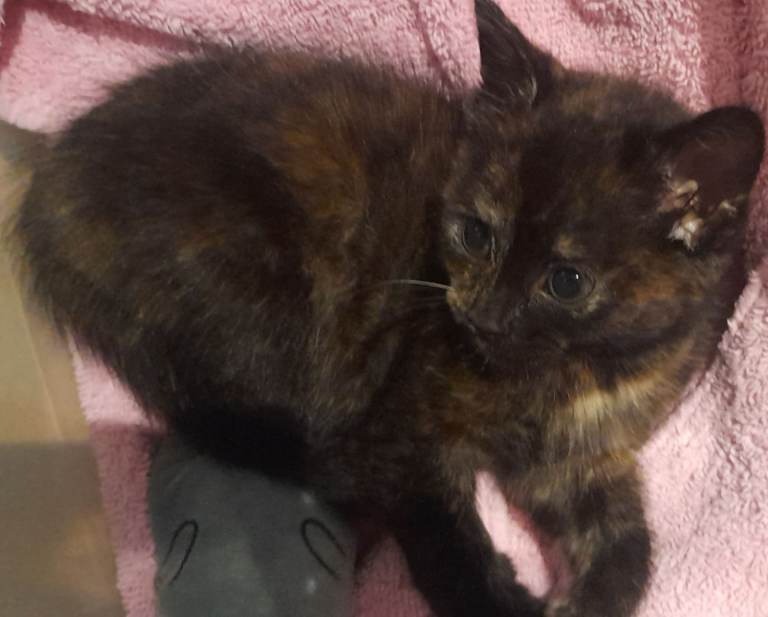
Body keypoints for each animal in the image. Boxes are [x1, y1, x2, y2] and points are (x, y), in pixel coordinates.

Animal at [11, 1, 764, 617]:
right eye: (476, 233)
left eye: (567, 280)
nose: (482, 314)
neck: (574, 377)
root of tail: (54, 184)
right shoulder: (401, 433)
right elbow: (443, 542)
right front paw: (505, 602)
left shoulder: (580, 462)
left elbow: (631, 549)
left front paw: (588, 600)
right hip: (261, 297)